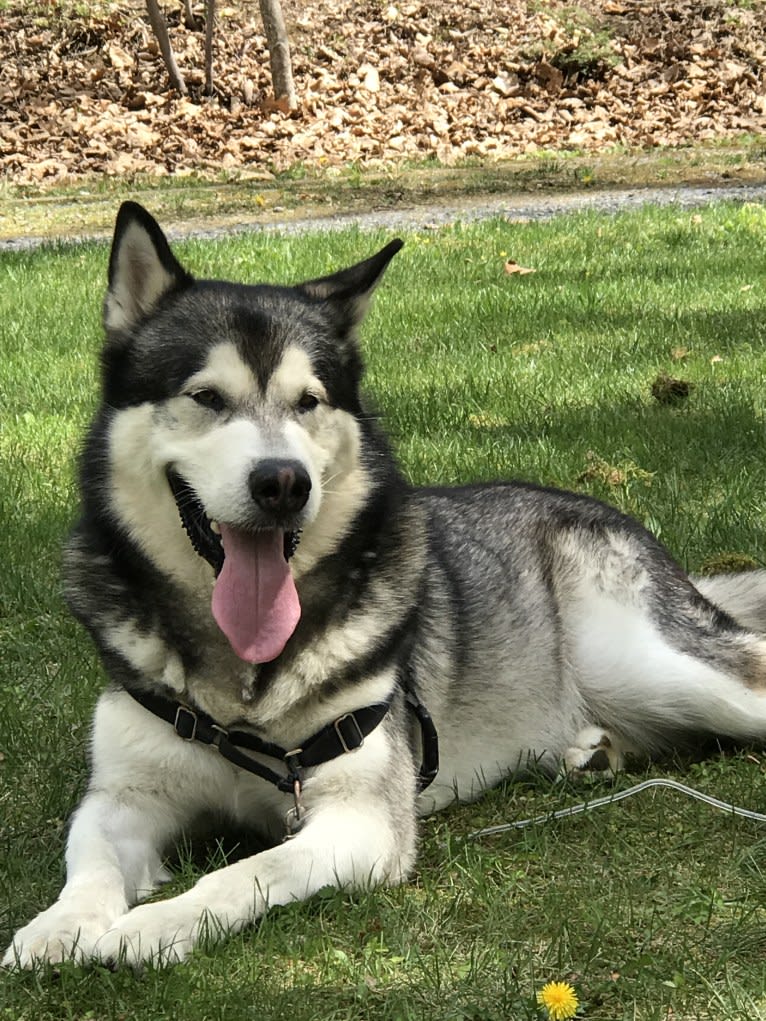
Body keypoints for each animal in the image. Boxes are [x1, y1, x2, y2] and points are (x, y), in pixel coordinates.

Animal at [6, 201, 766, 971]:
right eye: (207, 397)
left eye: (308, 402)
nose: (283, 482)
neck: (246, 688)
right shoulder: (124, 794)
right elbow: (90, 857)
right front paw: (62, 924)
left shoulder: (360, 819)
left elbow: (245, 869)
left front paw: (155, 924)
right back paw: (590, 752)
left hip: (652, 667)